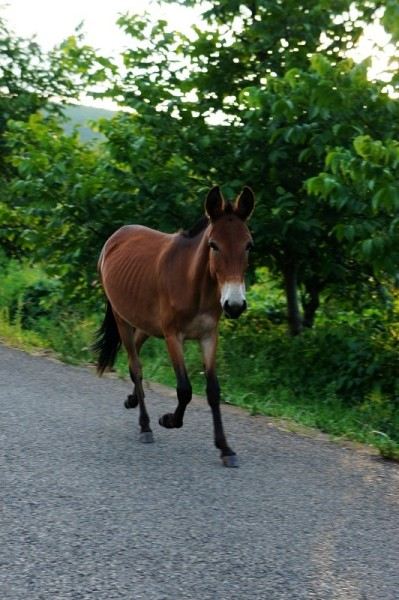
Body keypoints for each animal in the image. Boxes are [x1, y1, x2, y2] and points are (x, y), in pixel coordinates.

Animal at [94, 185, 255, 466]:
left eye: (248, 245)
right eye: (214, 245)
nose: (235, 305)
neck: (194, 283)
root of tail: (116, 235)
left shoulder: (208, 336)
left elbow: (213, 391)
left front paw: (225, 448)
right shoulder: (173, 337)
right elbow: (185, 390)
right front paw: (168, 420)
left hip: (145, 324)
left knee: (134, 357)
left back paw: (132, 400)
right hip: (122, 318)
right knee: (136, 367)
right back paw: (145, 425)